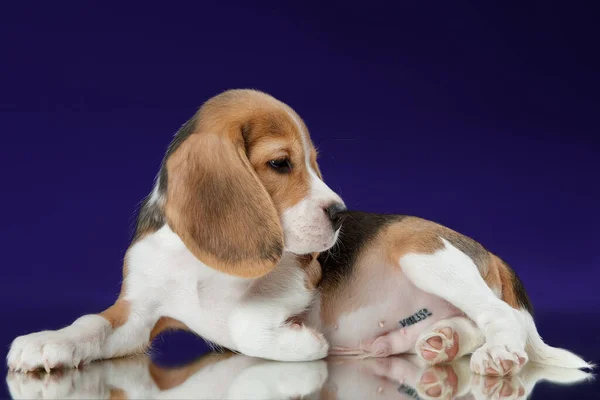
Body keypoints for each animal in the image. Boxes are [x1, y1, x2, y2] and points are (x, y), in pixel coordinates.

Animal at [7, 88, 592, 378]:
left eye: (314, 162)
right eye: (281, 163)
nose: (340, 214)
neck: (198, 266)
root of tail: (488, 251)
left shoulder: (297, 279)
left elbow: (245, 320)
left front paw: (299, 342)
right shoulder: (137, 315)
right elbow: (90, 323)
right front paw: (46, 342)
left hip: (422, 251)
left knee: (497, 317)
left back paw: (496, 354)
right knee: (468, 325)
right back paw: (433, 341)